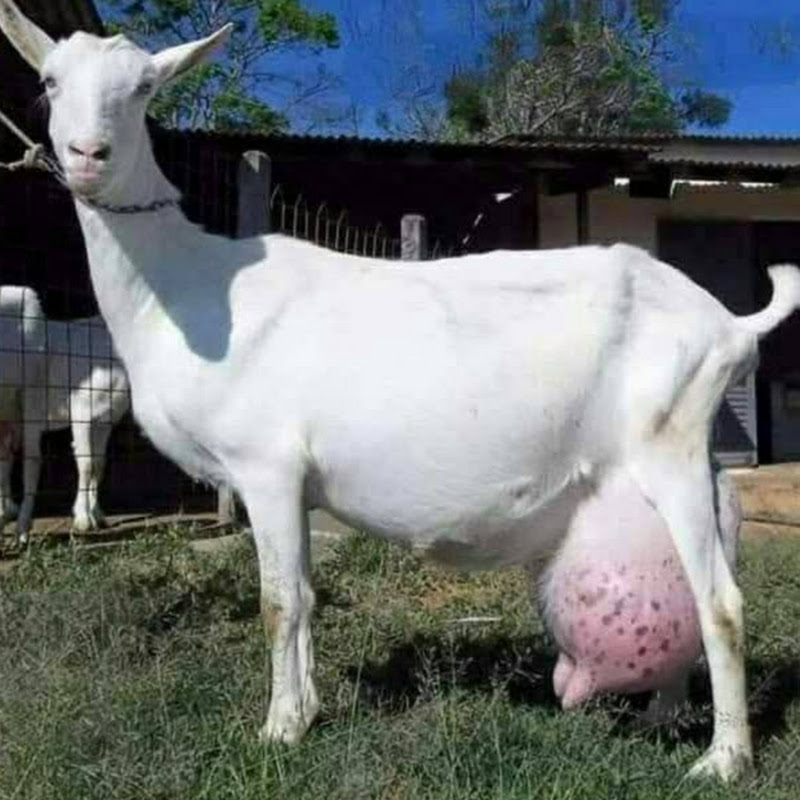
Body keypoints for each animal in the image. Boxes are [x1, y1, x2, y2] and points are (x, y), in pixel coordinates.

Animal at [0, 308, 130, 535]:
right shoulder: (82, 413)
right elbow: (86, 464)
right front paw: (83, 520)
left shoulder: (105, 420)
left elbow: (99, 465)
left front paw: (97, 515)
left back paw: (9, 510)